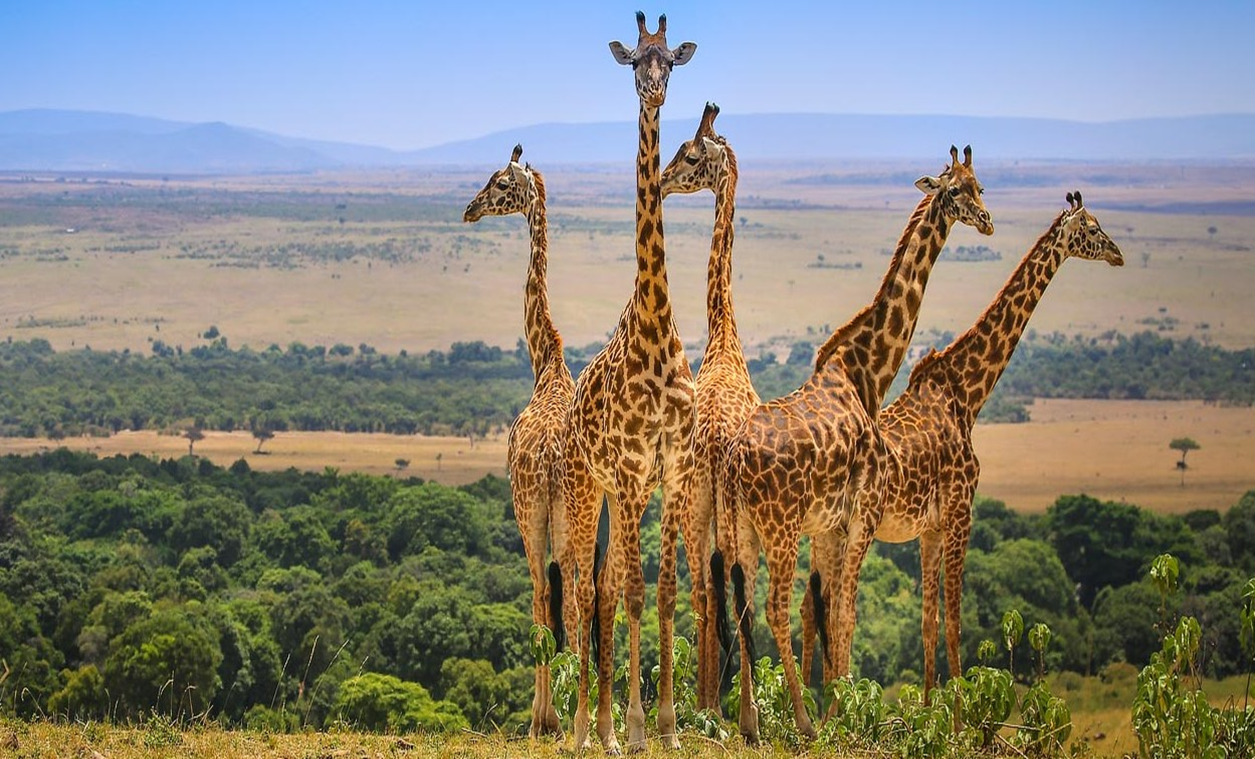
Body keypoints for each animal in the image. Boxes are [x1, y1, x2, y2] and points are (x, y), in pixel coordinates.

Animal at [726, 146, 993, 743]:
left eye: (981, 185)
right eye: (956, 191)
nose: (988, 221)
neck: (865, 374)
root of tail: (734, 461)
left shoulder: (832, 524)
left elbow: (832, 611)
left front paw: (840, 706)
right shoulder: (860, 515)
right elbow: (844, 612)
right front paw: (841, 714)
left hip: (743, 529)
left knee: (745, 606)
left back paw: (751, 725)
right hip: (780, 528)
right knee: (773, 607)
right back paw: (802, 722)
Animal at [802, 191, 1123, 709]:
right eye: (1092, 229)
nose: (1118, 253)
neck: (967, 394)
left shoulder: (931, 528)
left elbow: (928, 624)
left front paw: (928, 708)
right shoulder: (961, 512)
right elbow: (955, 624)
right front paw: (956, 718)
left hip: (825, 532)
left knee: (814, 607)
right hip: (850, 530)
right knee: (831, 609)